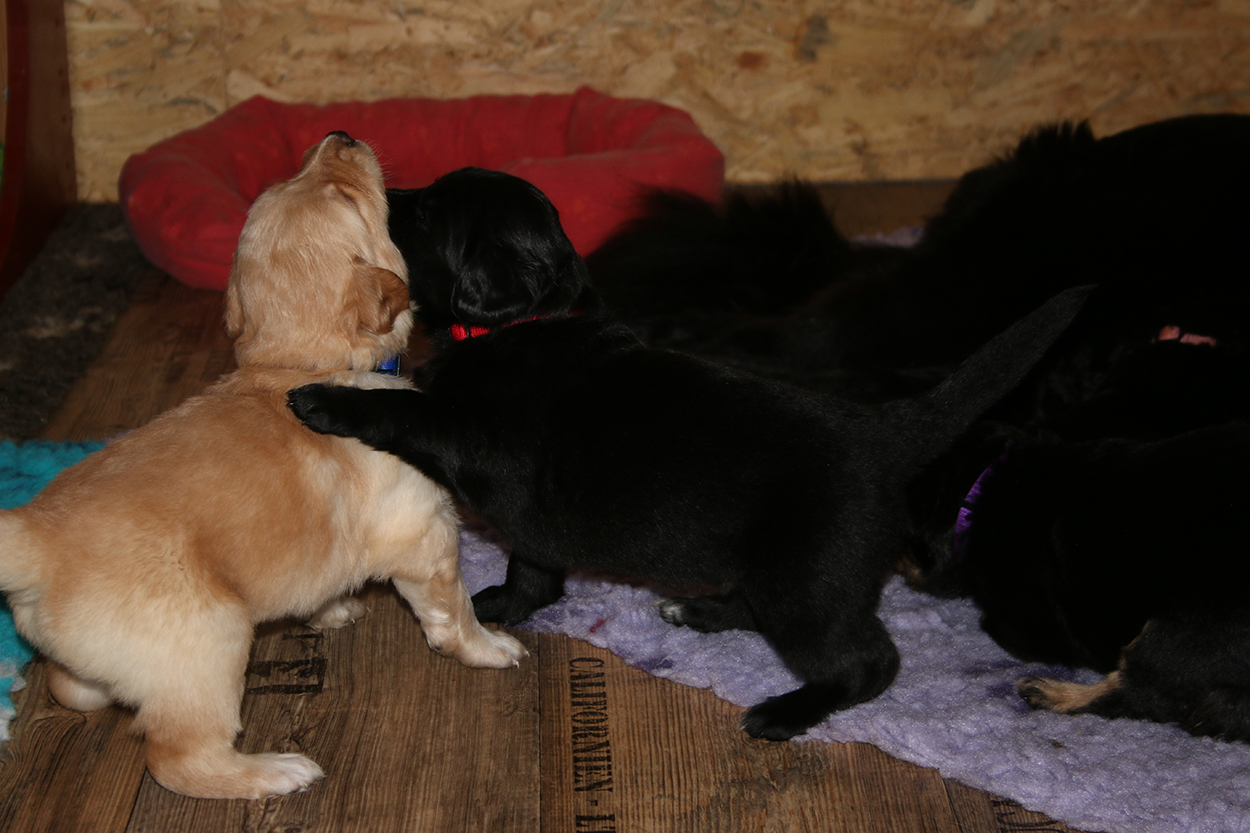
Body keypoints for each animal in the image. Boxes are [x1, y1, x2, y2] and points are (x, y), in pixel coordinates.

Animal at [0, 134, 525, 799]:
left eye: (290, 177)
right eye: (348, 196)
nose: (340, 135)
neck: (293, 364)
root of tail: (35, 540)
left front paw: (333, 609)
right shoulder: (426, 536)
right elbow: (453, 610)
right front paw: (488, 647)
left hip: (108, 661)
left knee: (75, 689)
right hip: (212, 641)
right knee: (177, 757)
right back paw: (276, 772)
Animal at [288, 166, 1088, 741]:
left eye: (426, 215)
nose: (378, 191)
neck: (526, 324)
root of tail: (881, 432)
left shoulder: (471, 437)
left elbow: (405, 408)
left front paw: (326, 398)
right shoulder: (534, 514)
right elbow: (535, 570)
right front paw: (505, 605)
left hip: (810, 583)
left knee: (870, 662)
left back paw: (786, 711)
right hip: (782, 574)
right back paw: (697, 611)